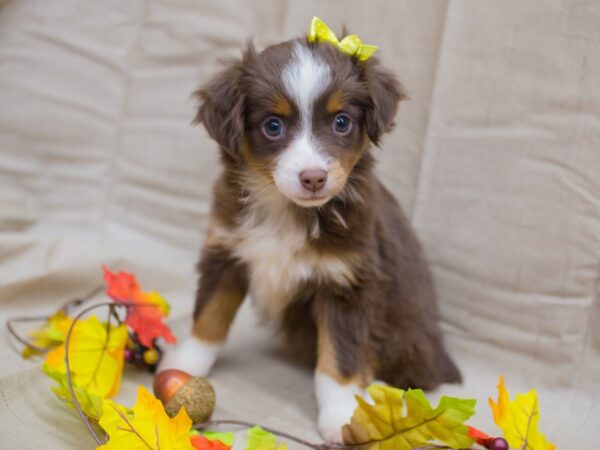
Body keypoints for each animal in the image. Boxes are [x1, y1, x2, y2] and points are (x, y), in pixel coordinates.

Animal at [158, 31, 460, 442]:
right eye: (272, 126)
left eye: (342, 122)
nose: (313, 177)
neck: (286, 211)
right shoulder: (227, 251)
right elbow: (209, 318)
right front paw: (186, 368)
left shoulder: (347, 282)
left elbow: (339, 358)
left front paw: (342, 414)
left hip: (407, 340)